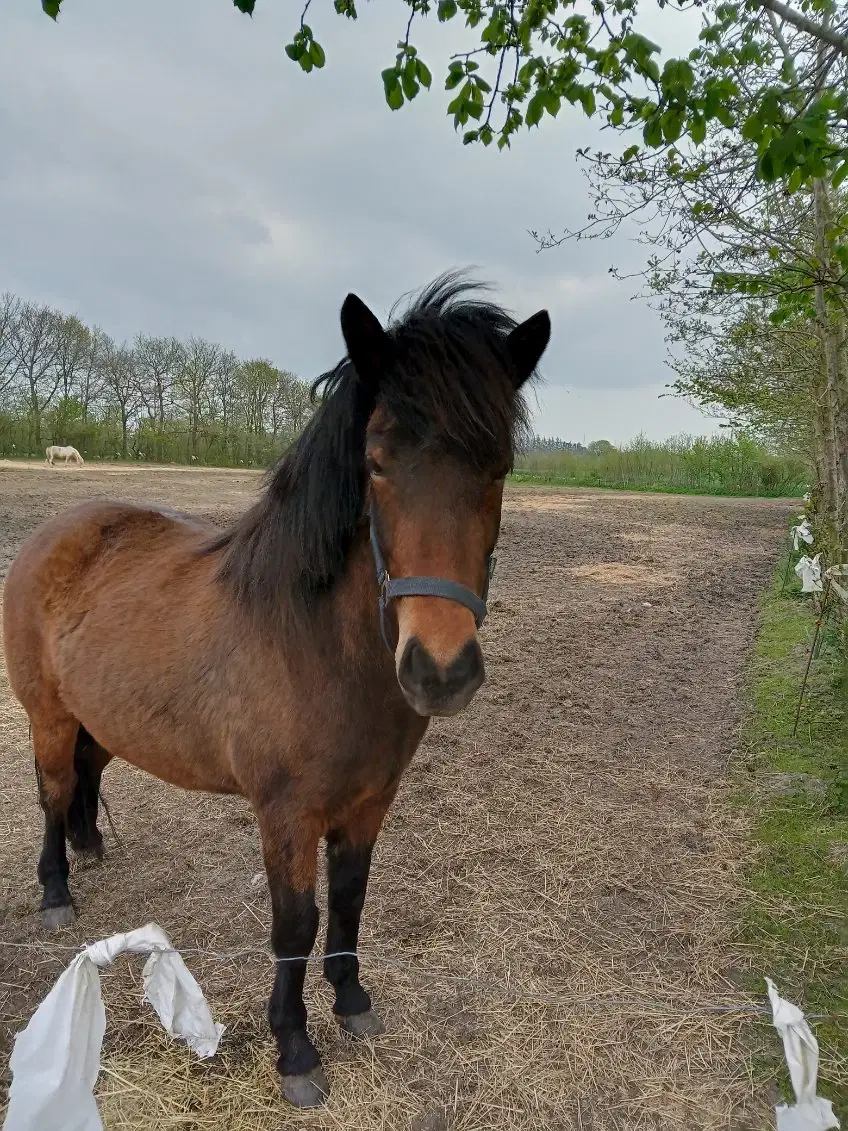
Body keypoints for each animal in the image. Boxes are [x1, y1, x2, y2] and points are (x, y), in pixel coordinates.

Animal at [3, 273, 551, 1103]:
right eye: (377, 461)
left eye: (499, 467)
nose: (440, 669)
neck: (318, 646)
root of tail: (57, 530)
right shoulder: (287, 813)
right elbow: (295, 922)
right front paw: (294, 1048)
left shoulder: (369, 801)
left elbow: (351, 897)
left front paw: (352, 1000)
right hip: (49, 716)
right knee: (52, 789)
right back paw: (56, 892)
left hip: (103, 716)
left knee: (88, 777)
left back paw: (91, 847)